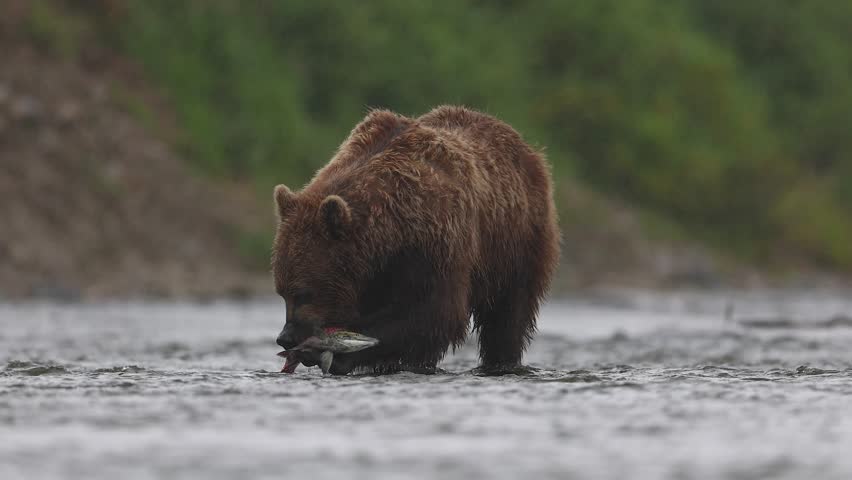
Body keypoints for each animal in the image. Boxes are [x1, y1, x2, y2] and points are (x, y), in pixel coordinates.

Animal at [273, 105, 559, 375]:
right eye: (282, 292)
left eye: (304, 294)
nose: (286, 338)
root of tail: (526, 147)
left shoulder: (434, 246)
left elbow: (431, 313)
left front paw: (339, 351)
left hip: (516, 241)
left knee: (508, 315)